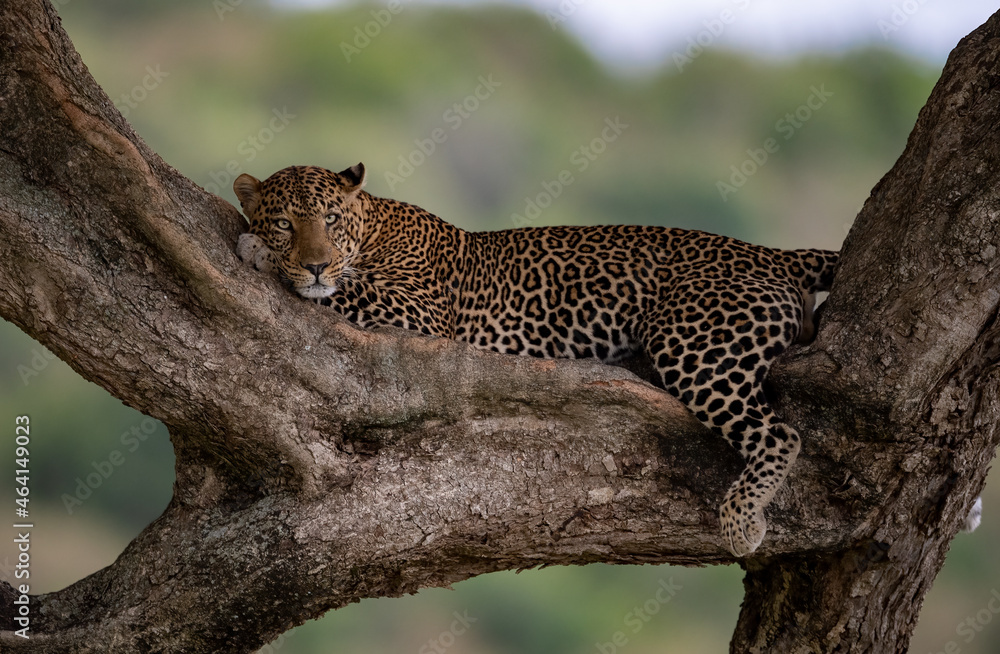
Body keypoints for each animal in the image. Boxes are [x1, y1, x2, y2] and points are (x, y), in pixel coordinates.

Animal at [232, 163, 838, 557]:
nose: (315, 263)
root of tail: (771, 253)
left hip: (694, 343)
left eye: (331, 219)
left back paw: (741, 520)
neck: (375, 225)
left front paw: (261, 253)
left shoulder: (422, 315)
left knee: (780, 434)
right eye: (285, 222)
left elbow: (345, 289)